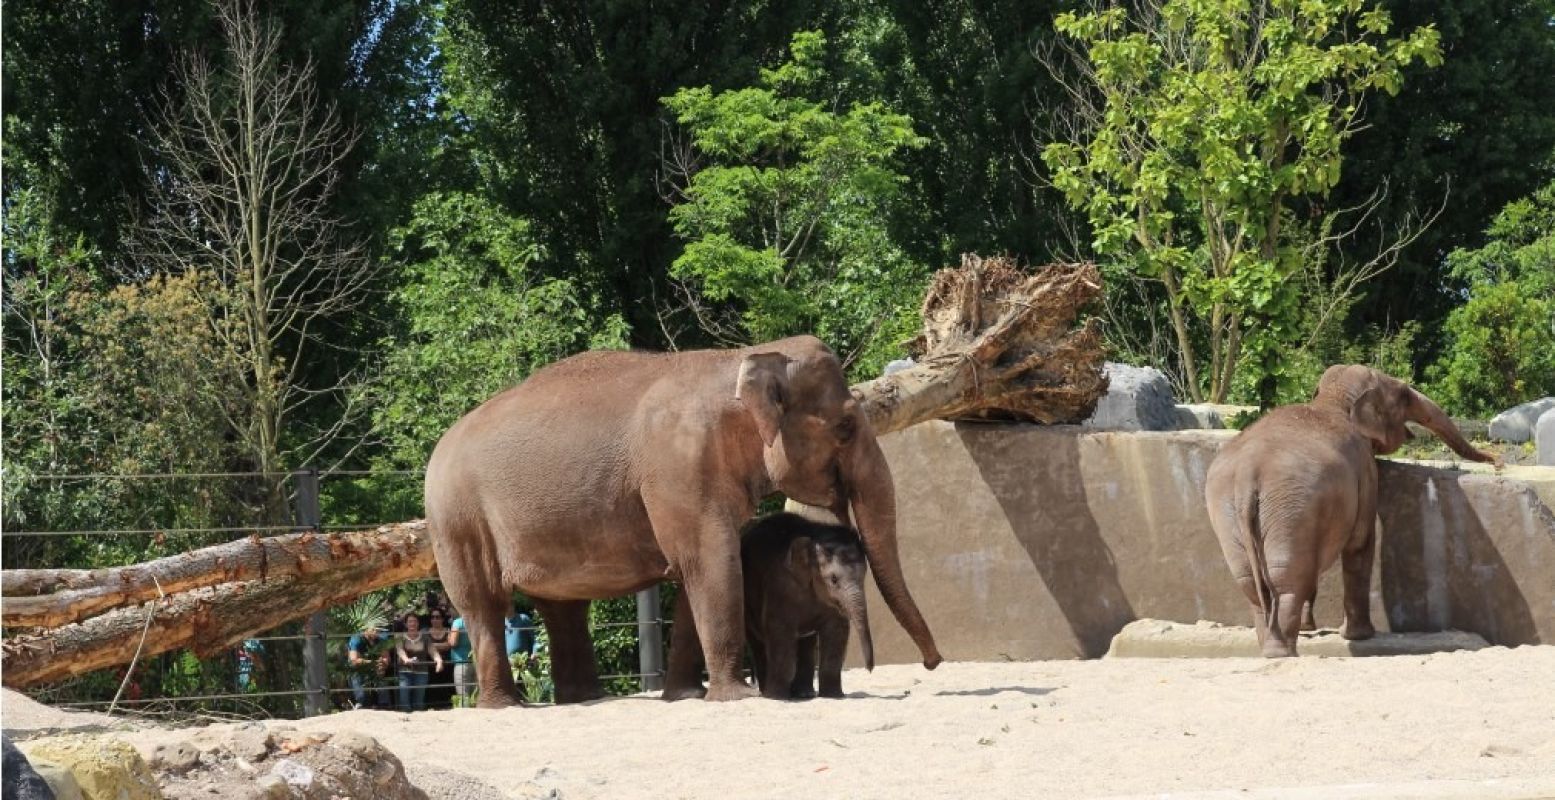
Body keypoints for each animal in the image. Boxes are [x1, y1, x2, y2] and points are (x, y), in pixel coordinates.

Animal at [740, 513, 877, 694]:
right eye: (833, 579)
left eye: (863, 576)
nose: (870, 669)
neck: (815, 535)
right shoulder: (780, 586)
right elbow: (780, 632)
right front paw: (777, 696)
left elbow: (836, 631)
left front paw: (834, 695)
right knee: (758, 644)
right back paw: (768, 692)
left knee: (806, 643)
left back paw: (803, 693)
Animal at [1200, 362, 1492, 653]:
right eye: (1404, 395)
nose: (1495, 460)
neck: (1334, 397)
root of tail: (1248, 476)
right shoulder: (1365, 468)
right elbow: (1361, 542)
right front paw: (1359, 636)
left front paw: (1310, 629)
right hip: (1288, 508)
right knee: (1288, 579)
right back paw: (1281, 653)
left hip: (1228, 510)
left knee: (1254, 582)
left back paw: (1271, 648)